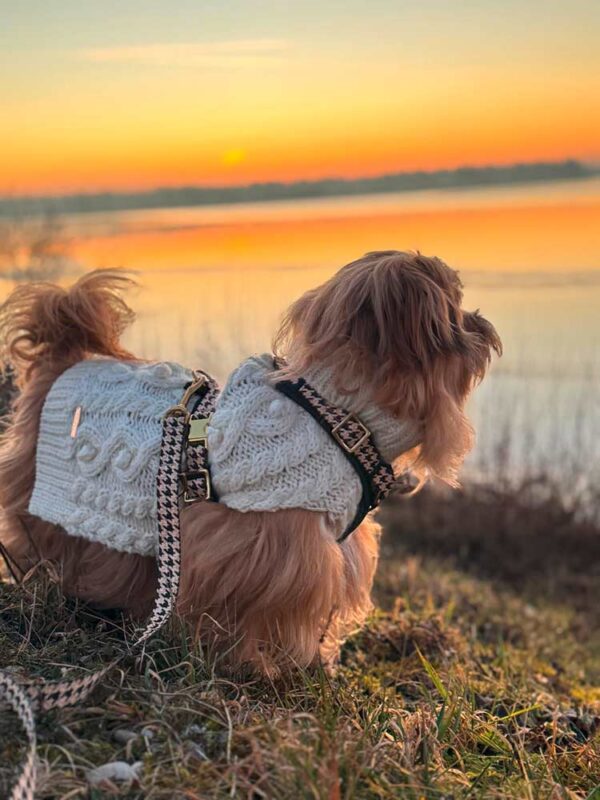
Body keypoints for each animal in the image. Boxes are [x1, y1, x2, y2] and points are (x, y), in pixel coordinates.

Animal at [0, 247, 502, 672]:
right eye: (457, 307)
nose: (482, 321)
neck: (334, 413)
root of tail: (65, 361)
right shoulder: (254, 547)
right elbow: (247, 613)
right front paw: (254, 666)